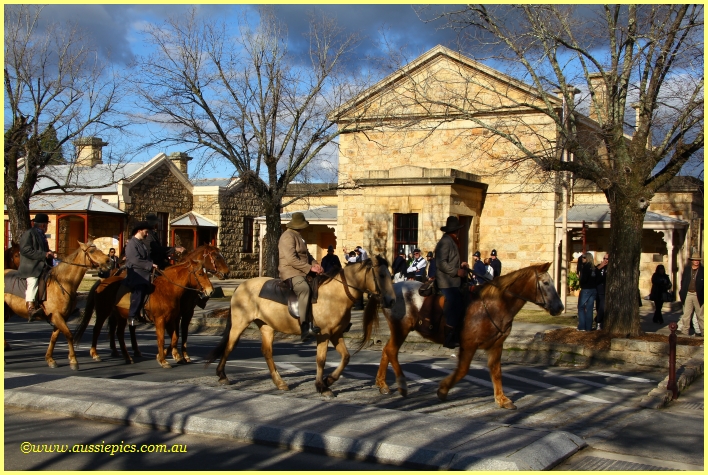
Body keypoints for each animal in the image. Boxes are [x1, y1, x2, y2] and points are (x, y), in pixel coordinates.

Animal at [3, 242, 112, 372]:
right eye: (91, 251)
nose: (109, 261)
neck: (63, 283)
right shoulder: (57, 316)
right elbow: (69, 335)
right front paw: (73, 361)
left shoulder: (61, 317)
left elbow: (54, 338)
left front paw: (50, 360)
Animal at [74, 260, 216, 368]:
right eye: (200, 273)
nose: (210, 291)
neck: (167, 290)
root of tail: (103, 281)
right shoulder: (161, 320)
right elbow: (161, 339)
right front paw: (163, 360)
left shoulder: (171, 320)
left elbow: (175, 338)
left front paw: (168, 356)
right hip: (103, 311)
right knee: (97, 329)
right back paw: (95, 354)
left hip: (120, 316)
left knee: (119, 333)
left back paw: (127, 357)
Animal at [206, 256, 398, 398]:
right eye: (381, 275)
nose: (391, 301)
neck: (336, 294)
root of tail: (241, 285)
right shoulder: (324, 334)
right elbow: (321, 360)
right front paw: (322, 386)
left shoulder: (336, 335)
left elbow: (346, 357)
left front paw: (329, 380)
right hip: (240, 324)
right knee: (230, 346)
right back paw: (222, 375)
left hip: (266, 326)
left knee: (267, 352)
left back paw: (280, 383)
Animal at [370, 262, 564, 410]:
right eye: (546, 283)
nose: (560, 307)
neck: (494, 304)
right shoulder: (469, 344)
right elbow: (463, 370)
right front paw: (443, 390)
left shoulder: (496, 346)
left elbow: (496, 372)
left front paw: (502, 399)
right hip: (401, 329)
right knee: (391, 351)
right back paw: (401, 385)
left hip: (398, 331)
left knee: (386, 350)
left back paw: (383, 384)